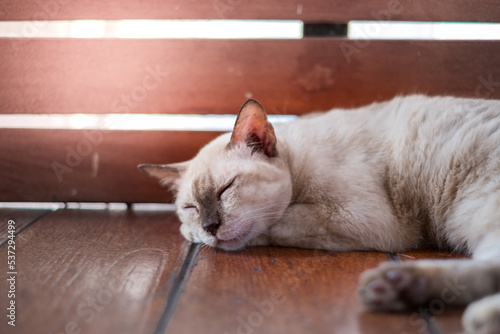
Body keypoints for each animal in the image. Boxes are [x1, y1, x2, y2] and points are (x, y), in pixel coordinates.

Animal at [139, 95, 500, 332]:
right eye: (191, 208)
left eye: (226, 189)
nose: (210, 226)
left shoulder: (359, 217)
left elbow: (277, 224)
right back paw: (397, 288)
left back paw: (478, 317)